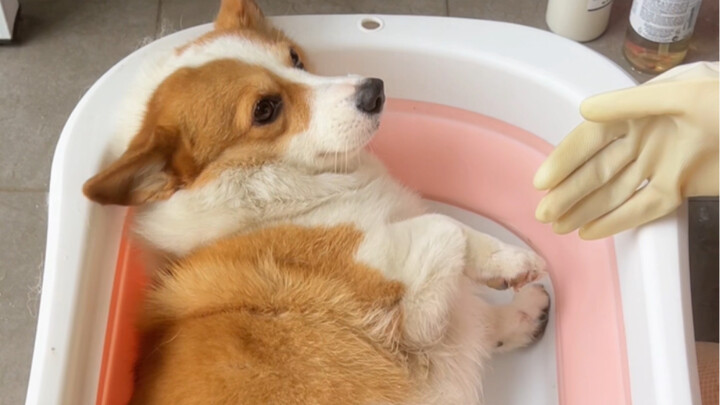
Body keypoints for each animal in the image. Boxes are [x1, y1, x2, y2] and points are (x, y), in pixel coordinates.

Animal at [81, 1, 548, 402]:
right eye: (265, 109)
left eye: (294, 58)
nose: (375, 90)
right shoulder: (411, 315)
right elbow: (445, 228)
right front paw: (505, 278)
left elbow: (475, 286)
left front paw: (516, 287)